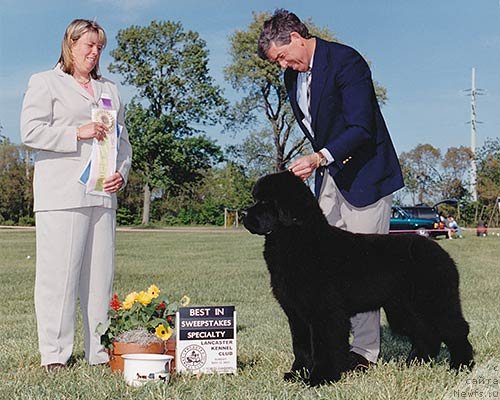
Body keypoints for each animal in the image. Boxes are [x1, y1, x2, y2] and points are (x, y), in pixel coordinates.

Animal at [242, 170, 472, 386]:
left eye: (265, 202)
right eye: (256, 199)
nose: (243, 213)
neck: (298, 239)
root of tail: (442, 253)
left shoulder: (325, 313)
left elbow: (324, 347)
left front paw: (320, 378)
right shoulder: (296, 313)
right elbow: (301, 347)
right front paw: (297, 374)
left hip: (436, 302)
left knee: (456, 329)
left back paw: (461, 365)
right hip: (404, 309)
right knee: (426, 333)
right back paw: (415, 363)